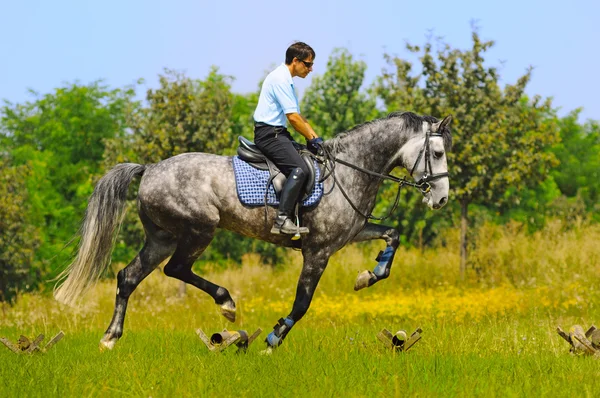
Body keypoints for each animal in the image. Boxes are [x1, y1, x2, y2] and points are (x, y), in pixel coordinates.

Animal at [55, 111, 450, 348]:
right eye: (438, 153)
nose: (442, 199)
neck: (350, 170)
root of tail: (149, 169)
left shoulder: (350, 233)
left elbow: (392, 235)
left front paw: (368, 276)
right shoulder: (318, 251)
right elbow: (302, 302)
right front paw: (274, 339)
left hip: (162, 238)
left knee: (128, 277)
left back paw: (110, 338)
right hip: (199, 229)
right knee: (177, 269)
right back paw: (227, 304)